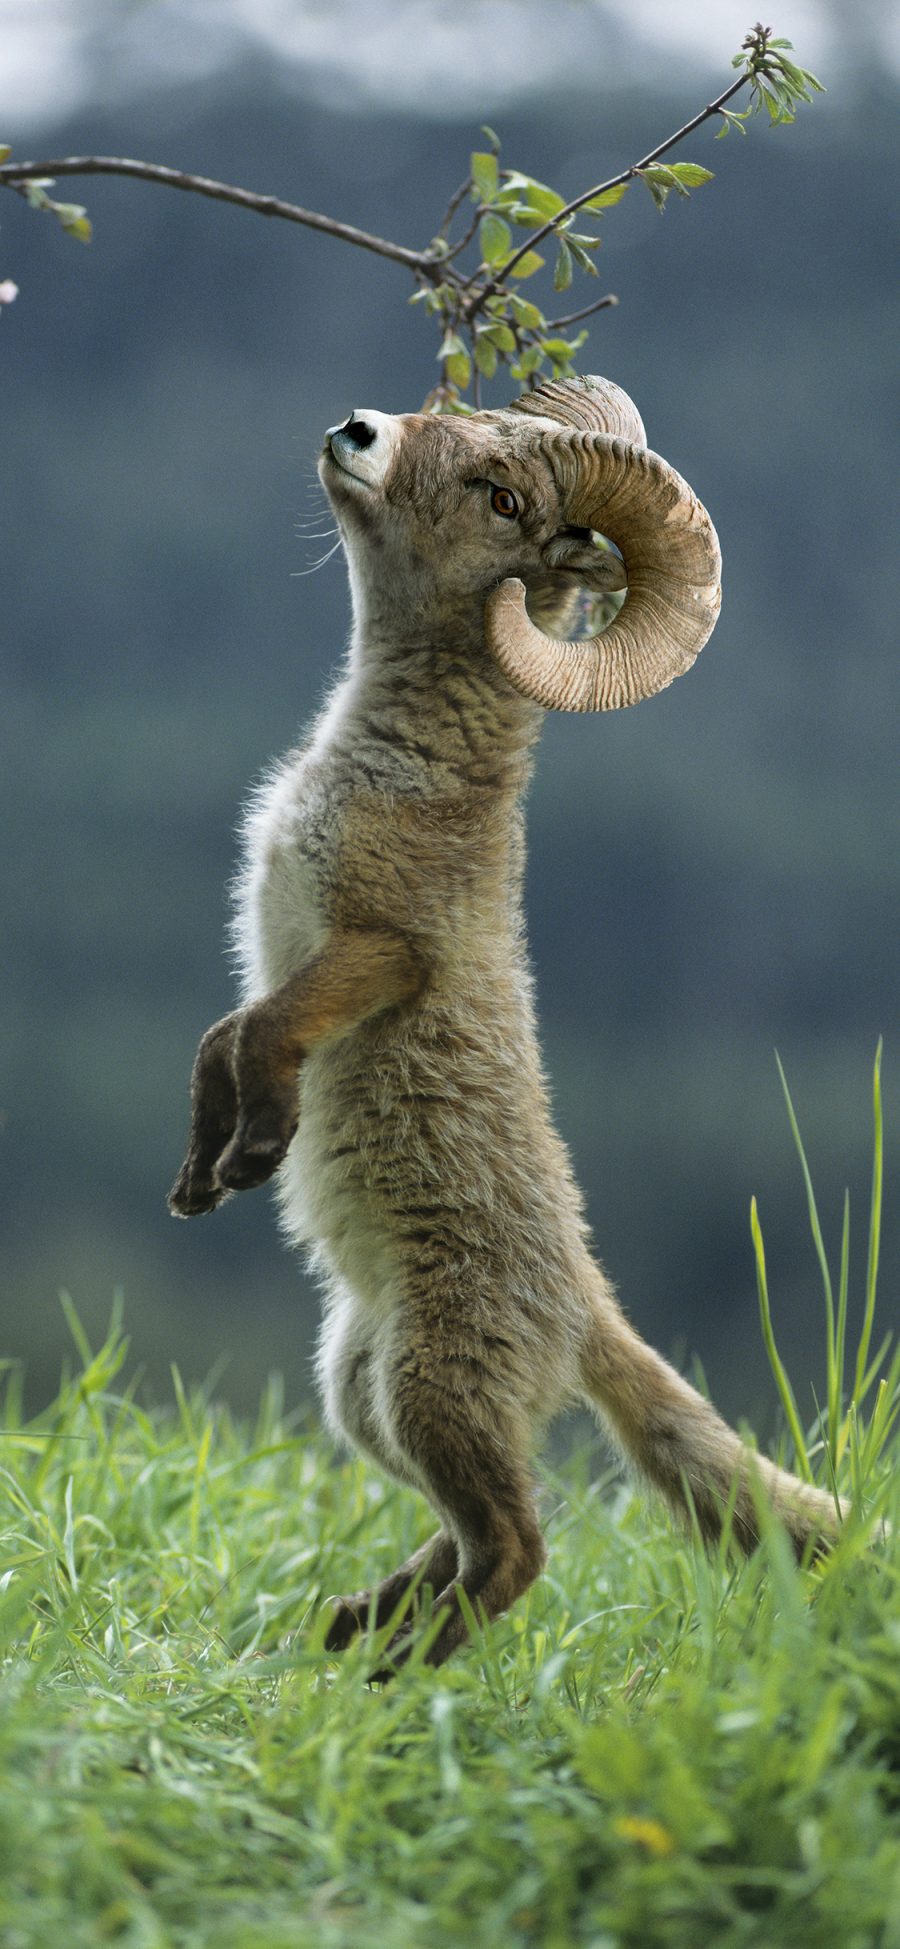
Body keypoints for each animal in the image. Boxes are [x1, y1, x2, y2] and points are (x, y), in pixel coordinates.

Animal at [168, 372, 837, 1668]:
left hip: (427, 1392)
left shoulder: (382, 948)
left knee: (525, 1548)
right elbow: (218, 1039)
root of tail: (586, 1295)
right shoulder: (283, 939)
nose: (358, 426)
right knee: (474, 1535)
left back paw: (397, 1671)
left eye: (502, 495)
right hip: (365, 1399)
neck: (373, 763)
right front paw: (200, 1167)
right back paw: (363, 1631)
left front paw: (256, 1149)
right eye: (447, 415)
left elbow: (265, 1034)